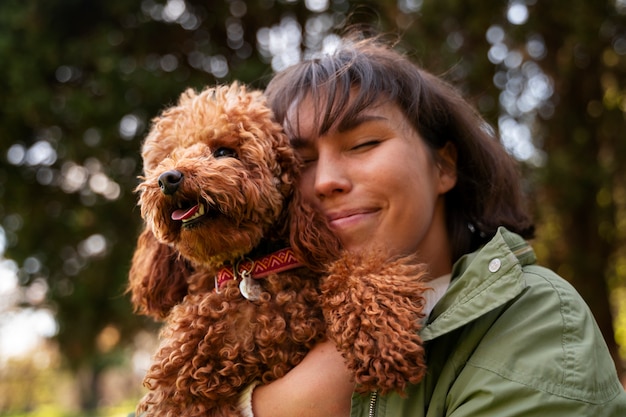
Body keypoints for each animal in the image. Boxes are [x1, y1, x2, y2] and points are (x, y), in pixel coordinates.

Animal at [127, 83, 428, 414]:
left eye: (223, 152)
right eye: (168, 157)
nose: (168, 178)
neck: (249, 267)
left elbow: (359, 270)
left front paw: (383, 340)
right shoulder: (178, 384)